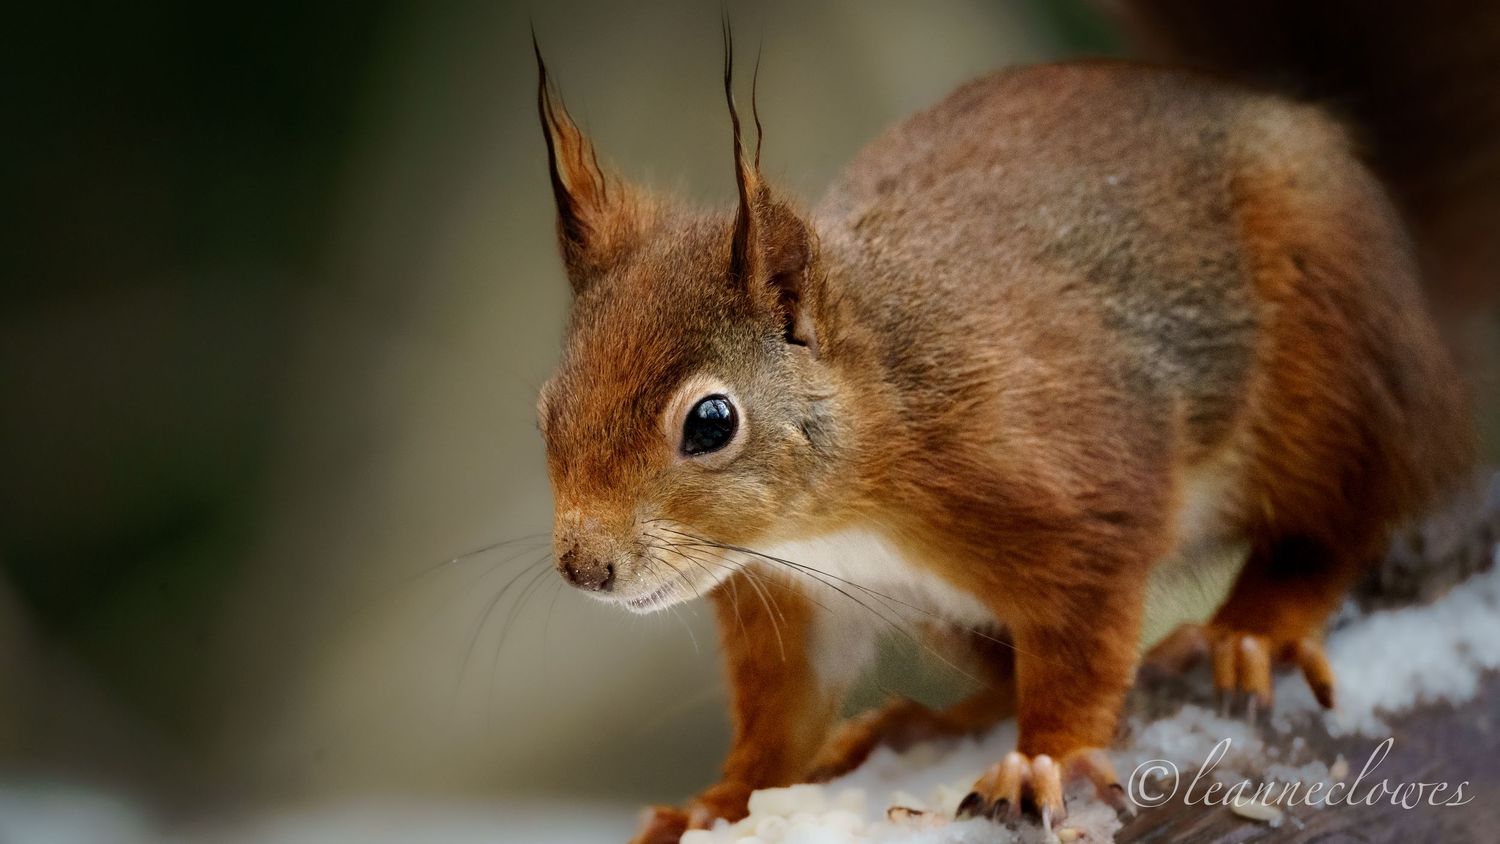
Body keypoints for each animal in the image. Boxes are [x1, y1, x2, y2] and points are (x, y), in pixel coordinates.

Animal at [531, 4, 1494, 841]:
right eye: (545, 409)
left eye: (711, 422)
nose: (585, 568)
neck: (837, 518)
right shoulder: (790, 595)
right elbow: (782, 715)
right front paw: (719, 801)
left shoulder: (1073, 495)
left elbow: (1082, 644)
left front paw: (1047, 761)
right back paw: (917, 725)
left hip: (1327, 376)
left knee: (1341, 520)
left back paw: (1254, 628)